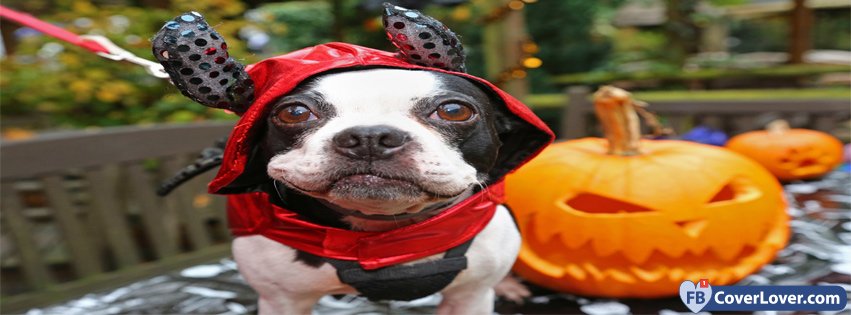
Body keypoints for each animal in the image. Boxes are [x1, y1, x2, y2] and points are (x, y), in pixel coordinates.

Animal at [152, 4, 552, 314]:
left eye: (454, 110)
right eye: (294, 112)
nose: (370, 137)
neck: (381, 236)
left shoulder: (470, 295)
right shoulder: (282, 299)